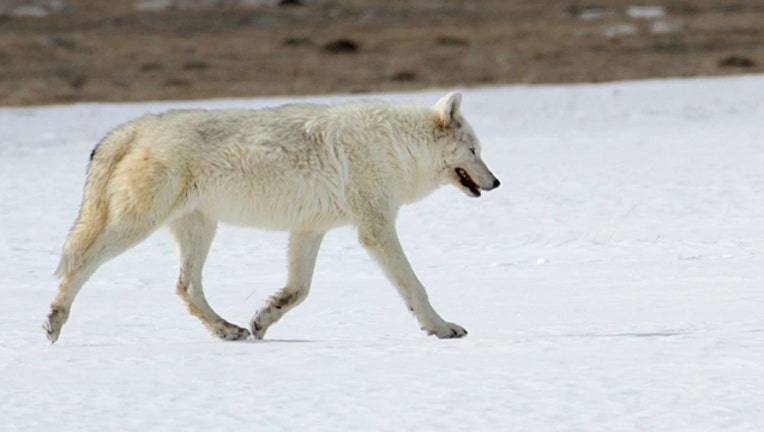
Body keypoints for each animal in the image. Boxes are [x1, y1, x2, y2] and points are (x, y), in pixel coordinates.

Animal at [43, 92, 500, 343]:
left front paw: (262, 320)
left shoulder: (309, 230)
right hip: (137, 226)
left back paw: (228, 330)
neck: (396, 145)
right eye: (474, 151)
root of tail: (133, 127)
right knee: (81, 264)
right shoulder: (375, 229)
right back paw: (54, 322)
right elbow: (414, 287)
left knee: (186, 286)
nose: (496, 182)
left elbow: (298, 290)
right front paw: (442, 328)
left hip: (199, 229)